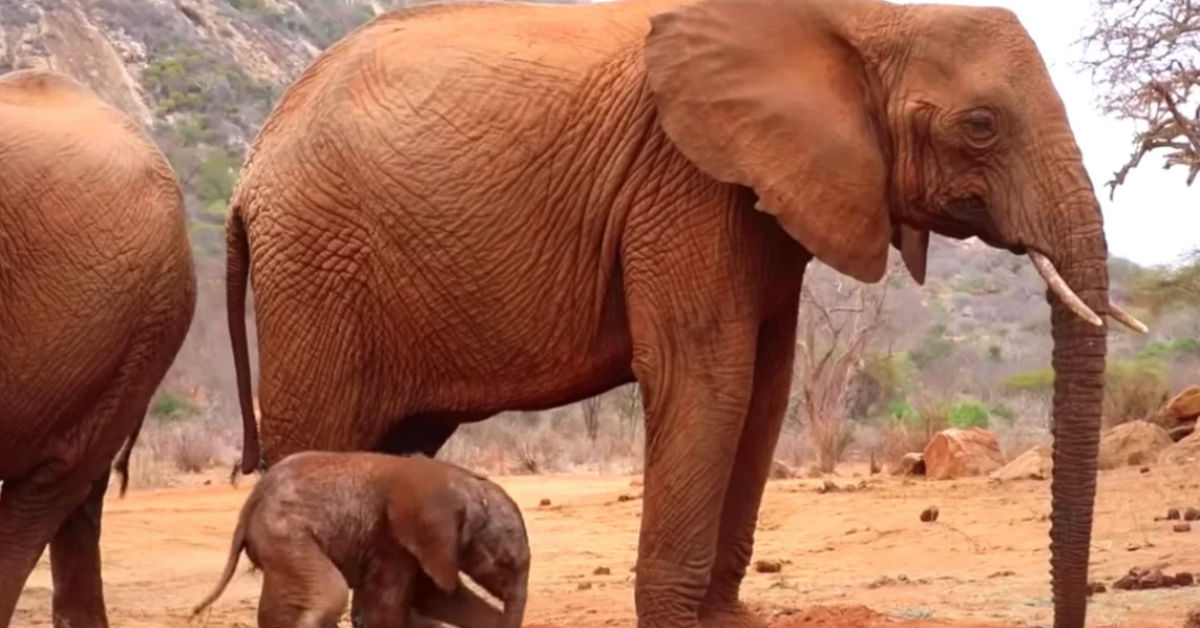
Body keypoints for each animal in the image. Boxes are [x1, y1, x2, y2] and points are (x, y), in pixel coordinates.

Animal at [193, 451, 530, 628]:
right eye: (504, 562)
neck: (462, 482)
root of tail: (251, 500)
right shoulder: (392, 540)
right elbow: (388, 609)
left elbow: (435, 598)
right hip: (284, 532)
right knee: (330, 593)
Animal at [223, 2, 1142, 624]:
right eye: (981, 126)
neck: (862, 18)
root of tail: (249, 172)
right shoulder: (685, 182)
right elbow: (708, 377)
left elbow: (764, 390)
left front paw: (728, 620)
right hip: (316, 266)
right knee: (322, 432)